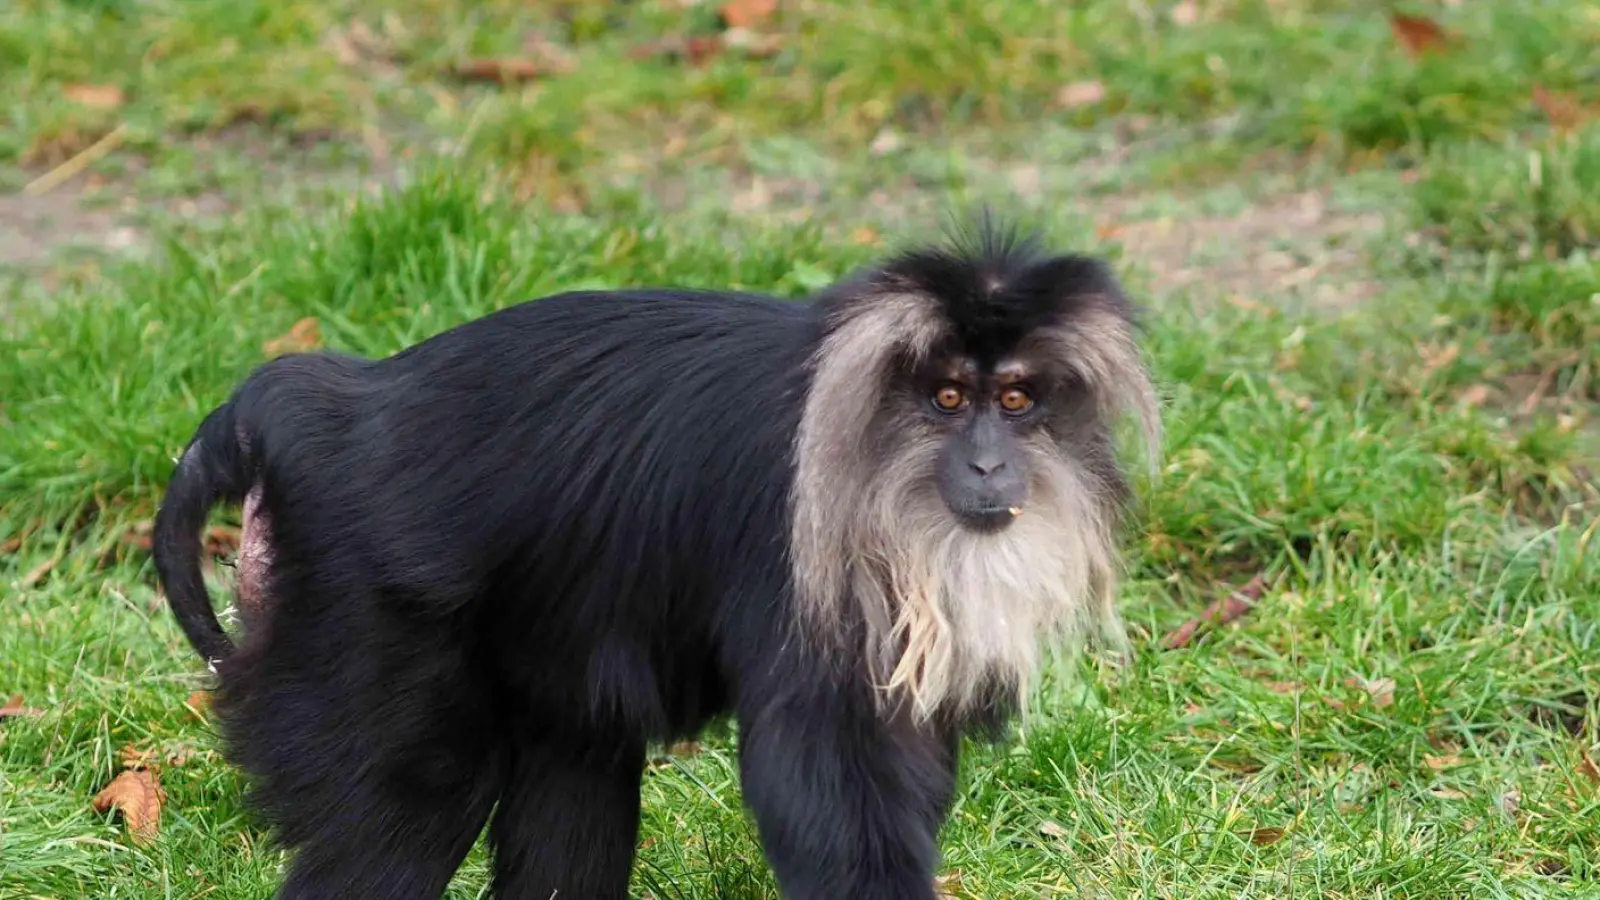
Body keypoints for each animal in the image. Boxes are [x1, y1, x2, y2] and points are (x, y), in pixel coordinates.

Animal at [152, 219, 1164, 896]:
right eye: (950, 398)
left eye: (1018, 400)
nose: (991, 465)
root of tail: (306, 411)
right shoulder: (797, 566)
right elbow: (825, 793)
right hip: (357, 611)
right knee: (408, 812)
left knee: (576, 773)